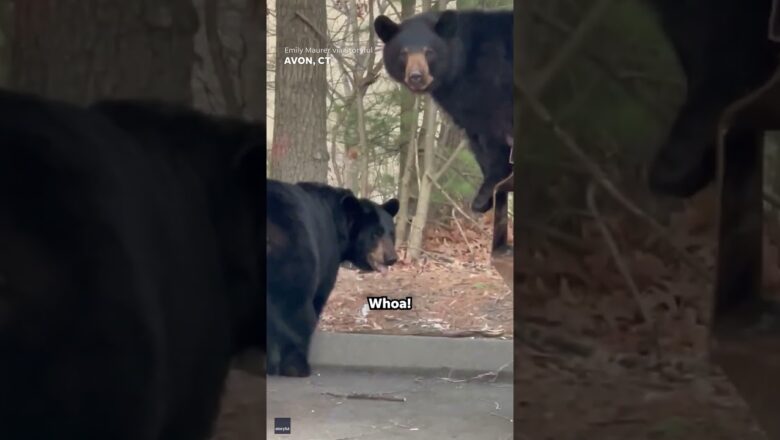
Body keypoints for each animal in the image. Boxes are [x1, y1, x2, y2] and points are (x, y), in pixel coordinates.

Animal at [270, 180, 402, 376]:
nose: (392, 258)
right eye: (375, 234)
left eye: (391, 233)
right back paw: (297, 366)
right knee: (296, 309)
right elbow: (319, 295)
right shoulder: (327, 252)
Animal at [374, 9, 512, 213]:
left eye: (429, 52)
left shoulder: (491, 85)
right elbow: (476, 139)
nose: (416, 77)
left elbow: (493, 136)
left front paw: (485, 194)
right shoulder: (465, 110)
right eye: (403, 53)